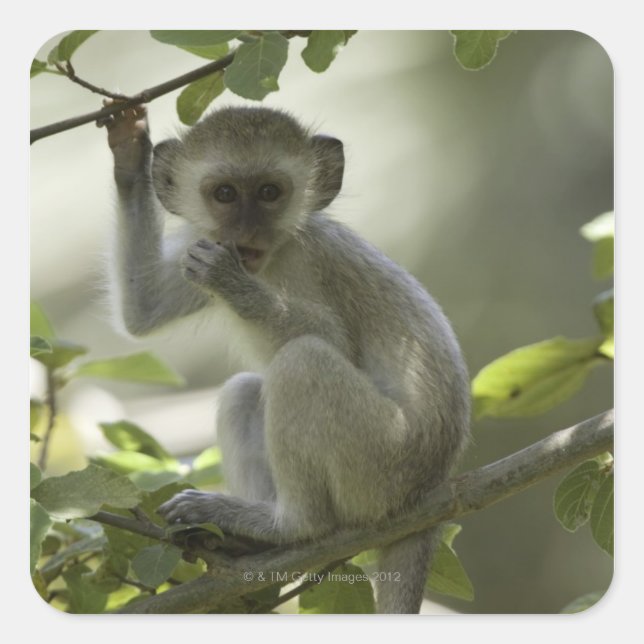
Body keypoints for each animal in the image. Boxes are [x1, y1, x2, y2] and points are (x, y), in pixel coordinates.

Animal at [101, 102, 470, 614]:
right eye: (225, 194)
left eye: (269, 193)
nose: (246, 232)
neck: (272, 257)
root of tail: (431, 488)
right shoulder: (201, 244)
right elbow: (144, 308)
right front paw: (129, 151)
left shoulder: (311, 259)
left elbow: (334, 340)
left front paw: (234, 285)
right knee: (244, 390)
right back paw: (245, 539)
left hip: (382, 466)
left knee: (302, 361)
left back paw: (289, 527)